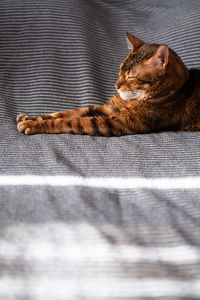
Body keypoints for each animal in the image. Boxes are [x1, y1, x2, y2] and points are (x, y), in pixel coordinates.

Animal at [17, 31, 200, 136]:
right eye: (120, 70)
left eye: (131, 77)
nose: (116, 86)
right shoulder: (107, 108)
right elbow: (65, 113)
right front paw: (30, 117)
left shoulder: (118, 122)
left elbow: (68, 121)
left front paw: (32, 125)